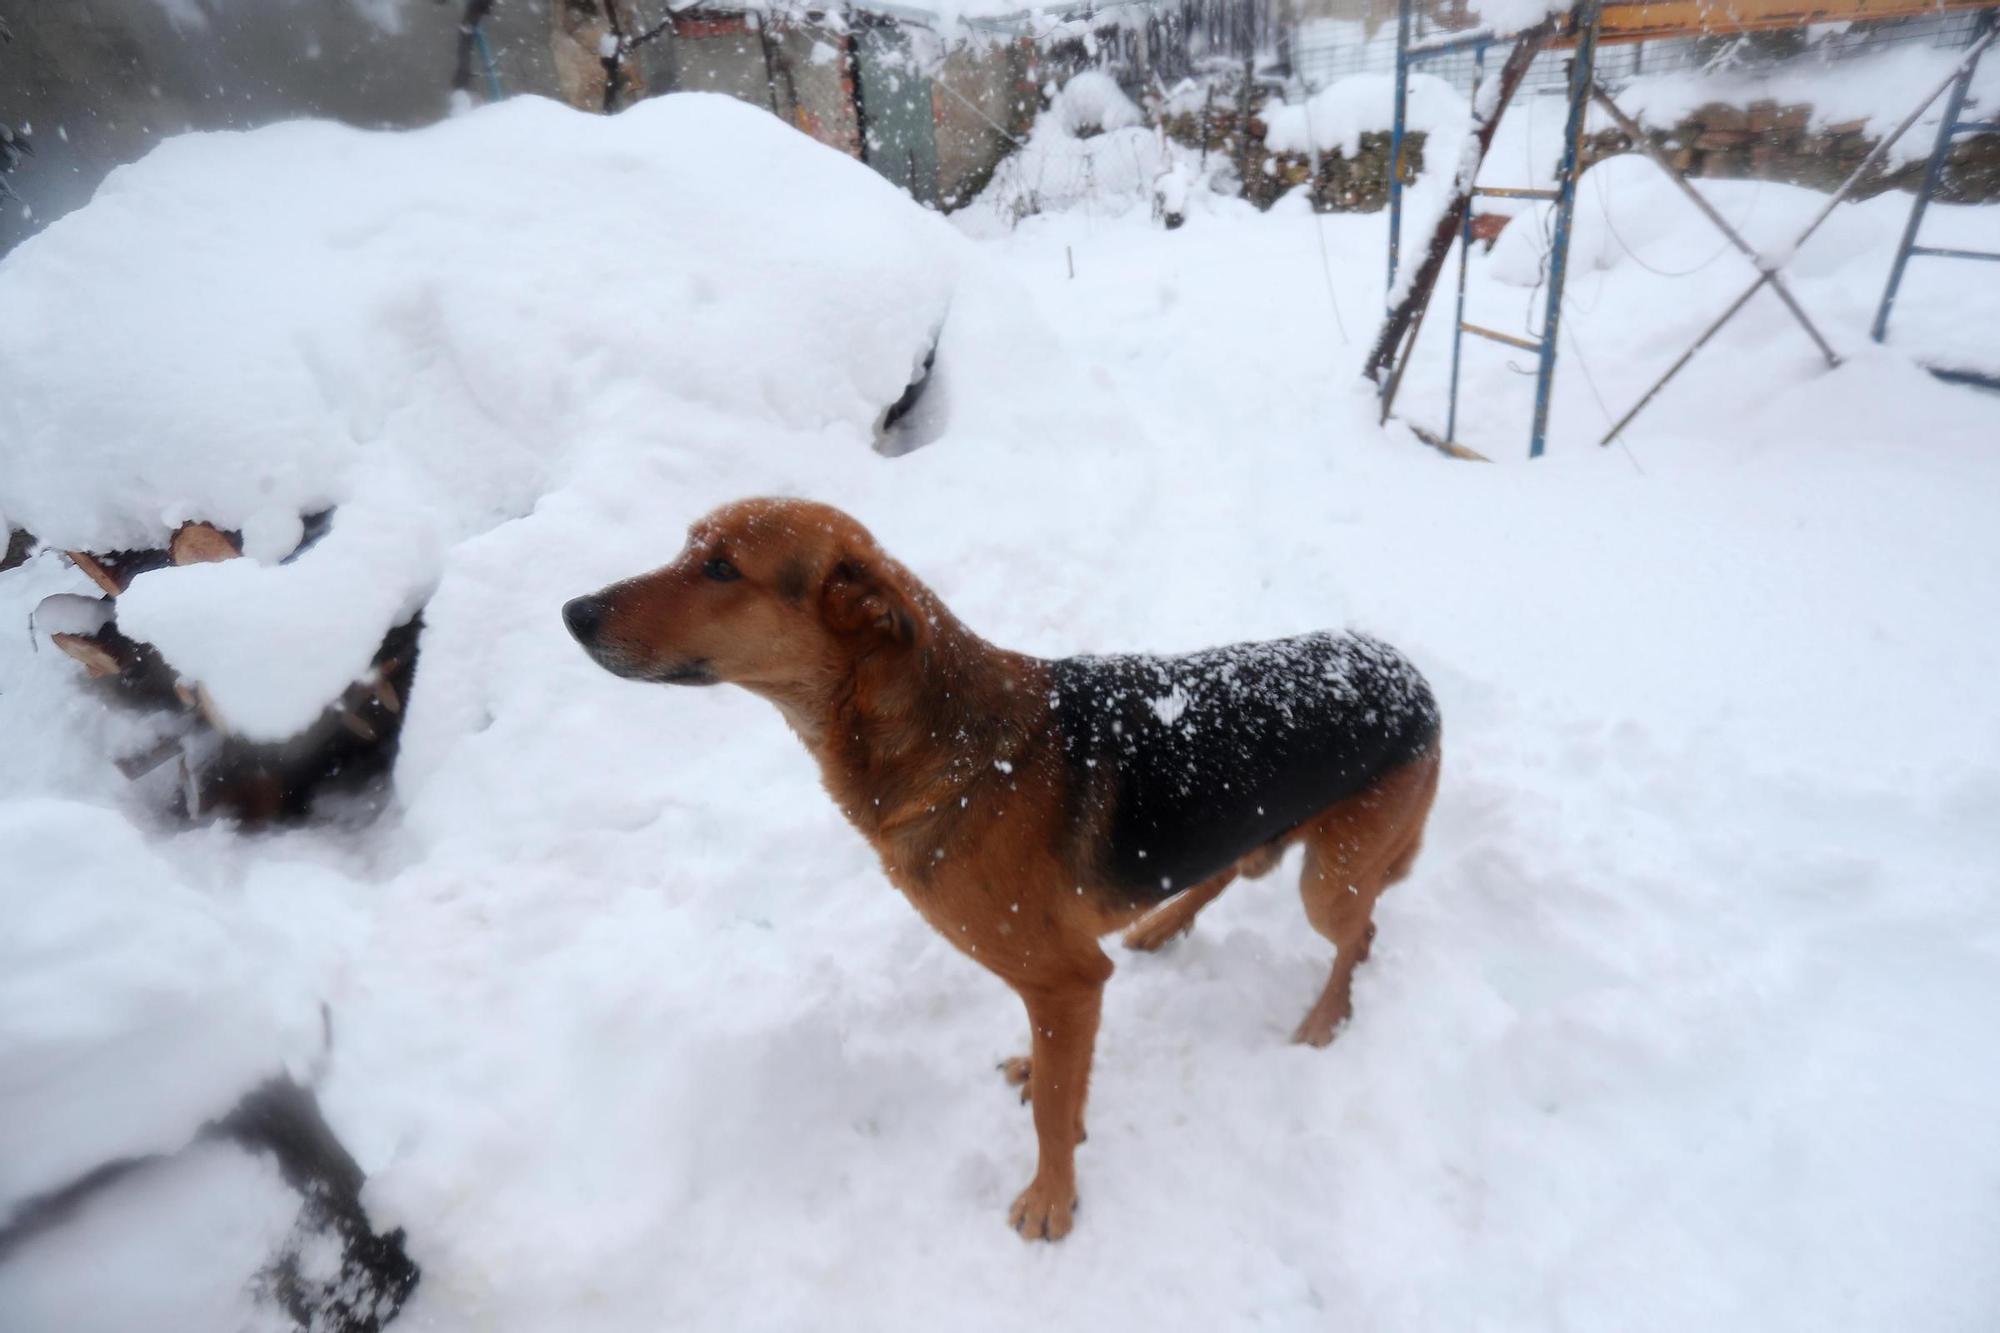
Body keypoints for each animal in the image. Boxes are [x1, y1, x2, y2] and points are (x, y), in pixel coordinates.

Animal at [564, 496, 1440, 1232]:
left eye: (720, 569)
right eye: (687, 547)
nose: (572, 612)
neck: (947, 748)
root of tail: (1412, 675)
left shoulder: (1067, 980)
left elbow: (1054, 1108)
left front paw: (1052, 1199)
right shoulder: (1068, 984)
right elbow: (1061, 1079)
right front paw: (1050, 1099)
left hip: (1328, 880)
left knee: (1358, 934)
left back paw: (1325, 1019)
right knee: (1228, 869)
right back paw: (1163, 926)